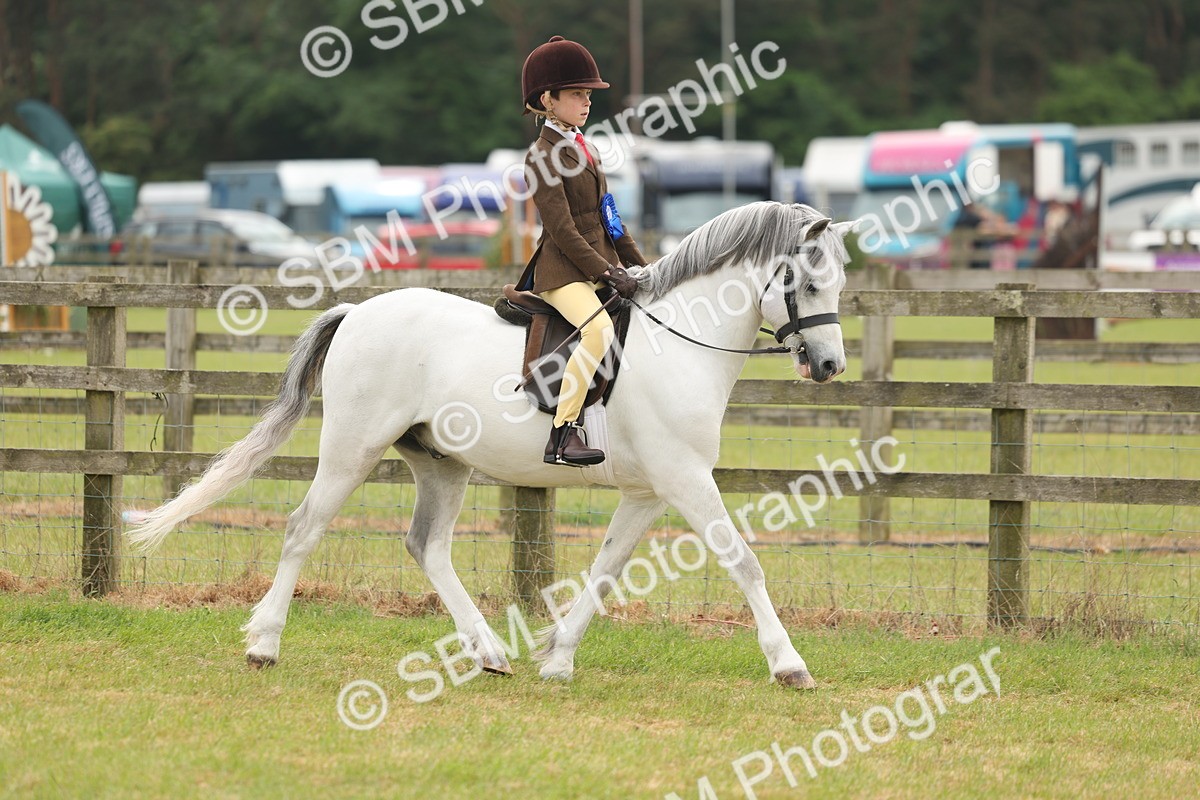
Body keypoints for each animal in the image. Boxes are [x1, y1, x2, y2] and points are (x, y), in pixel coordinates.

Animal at [127, 201, 854, 689]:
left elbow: (605, 570)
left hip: (441, 465)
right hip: (352, 448)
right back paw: (265, 645)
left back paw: (488, 652)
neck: (676, 342)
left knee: (428, 546)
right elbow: (744, 561)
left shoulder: (648, 492)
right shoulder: (685, 479)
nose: (829, 366)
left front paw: (557, 658)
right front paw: (790, 663)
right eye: (809, 283)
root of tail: (358, 311)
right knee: (304, 528)